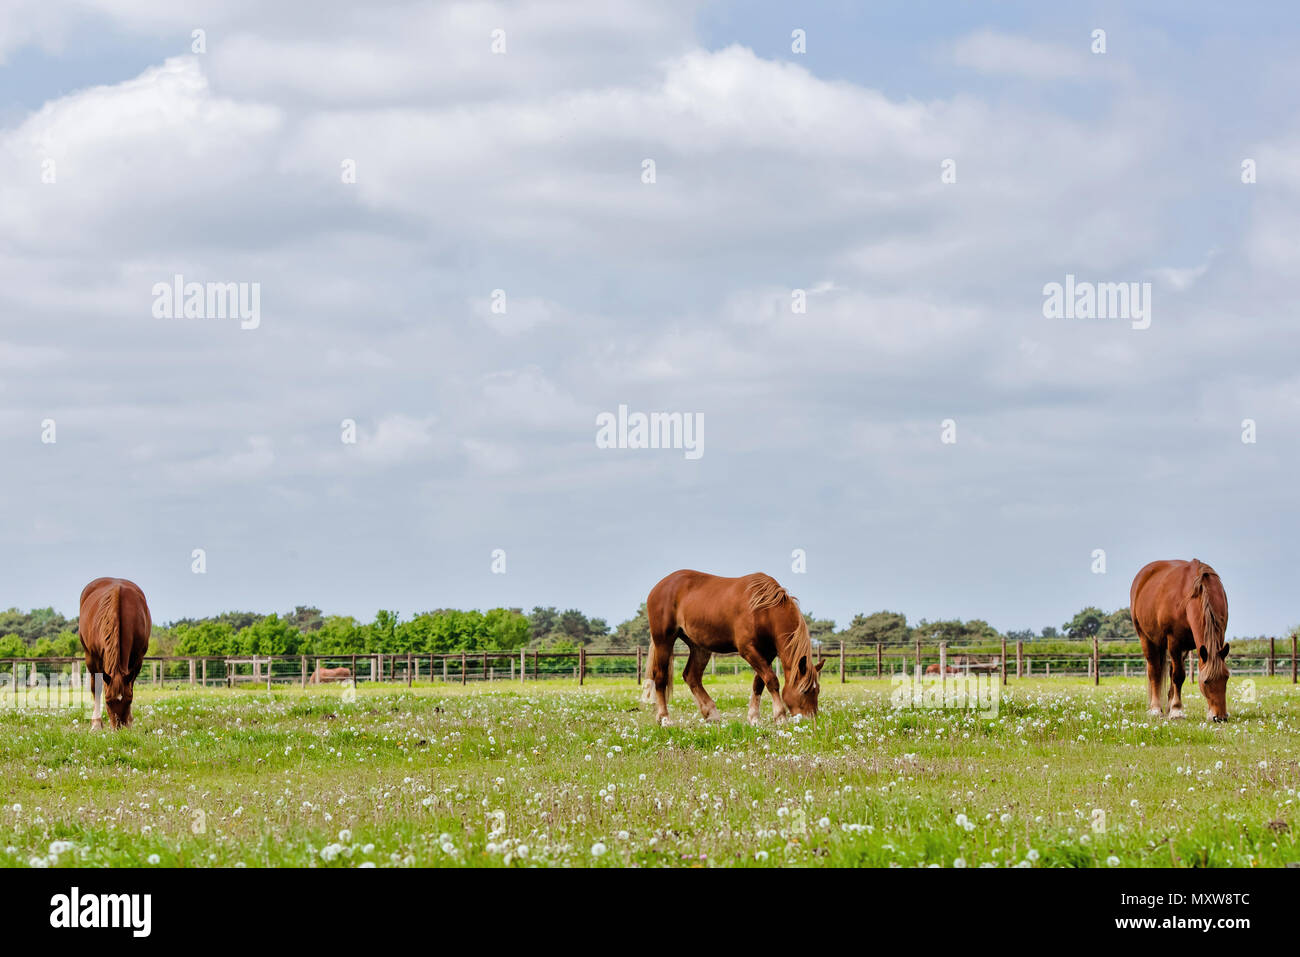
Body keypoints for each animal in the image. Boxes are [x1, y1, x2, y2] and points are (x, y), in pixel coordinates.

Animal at [76, 579, 150, 728]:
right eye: (108, 701)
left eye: (129, 700)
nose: (119, 727)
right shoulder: (94, 658)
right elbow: (97, 688)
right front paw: (97, 724)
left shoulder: (138, 659)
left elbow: (131, 685)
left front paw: (129, 721)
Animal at [639, 572, 821, 728]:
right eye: (805, 691)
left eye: (817, 690)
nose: (810, 719)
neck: (764, 610)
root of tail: (659, 586)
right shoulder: (748, 650)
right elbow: (771, 680)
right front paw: (780, 716)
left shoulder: (767, 653)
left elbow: (759, 683)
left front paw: (754, 718)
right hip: (664, 640)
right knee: (660, 678)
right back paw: (664, 718)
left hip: (699, 648)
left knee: (692, 677)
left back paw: (711, 714)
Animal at [1128, 556, 1227, 722]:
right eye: (1205, 681)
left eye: (1226, 678)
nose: (1219, 717)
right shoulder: (1174, 641)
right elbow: (1179, 676)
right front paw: (1176, 710)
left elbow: (1175, 675)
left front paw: (1174, 708)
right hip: (1147, 639)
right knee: (1155, 671)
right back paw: (1156, 709)